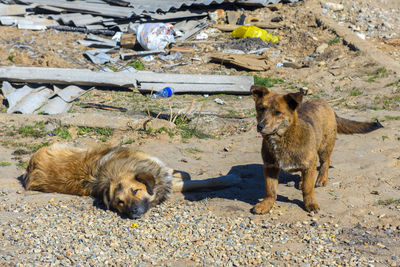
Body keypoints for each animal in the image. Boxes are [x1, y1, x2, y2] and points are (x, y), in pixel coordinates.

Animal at [252, 85, 382, 215]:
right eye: (261, 109)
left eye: (277, 112)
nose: (260, 126)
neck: (283, 138)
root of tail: (325, 103)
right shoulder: (270, 167)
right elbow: (270, 190)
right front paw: (266, 204)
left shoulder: (309, 165)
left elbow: (308, 189)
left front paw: (310, 203)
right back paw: (302, 181)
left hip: (324, 147)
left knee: (325, 162)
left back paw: (321, 179)